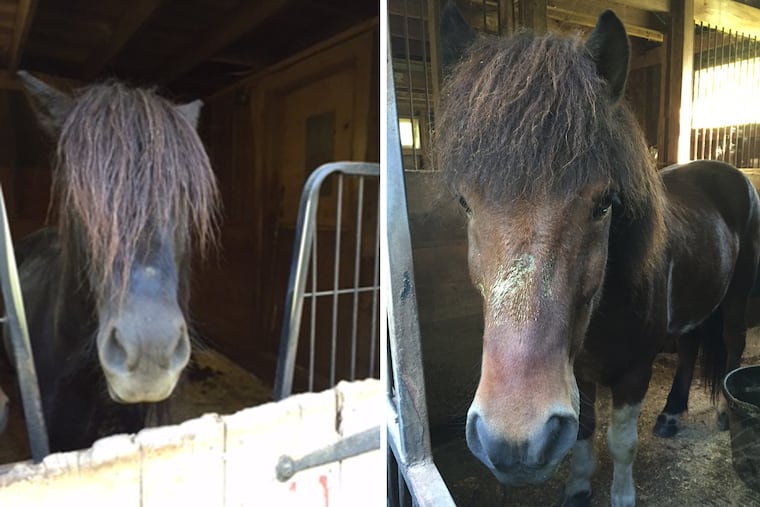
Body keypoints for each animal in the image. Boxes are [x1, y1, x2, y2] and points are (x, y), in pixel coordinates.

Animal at [436, 5, 760, 506]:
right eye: (465, 202)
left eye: (604, 203)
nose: (515, 442)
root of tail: (732, 174)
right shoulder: (579, 374)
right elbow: (585, 432)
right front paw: (577, 487)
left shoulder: (634, 372)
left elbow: (621, 441)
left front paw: (621, 495)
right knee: (689, 347)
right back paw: (671, 415)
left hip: (738, 294)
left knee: (732, 344)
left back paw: (726, 412)